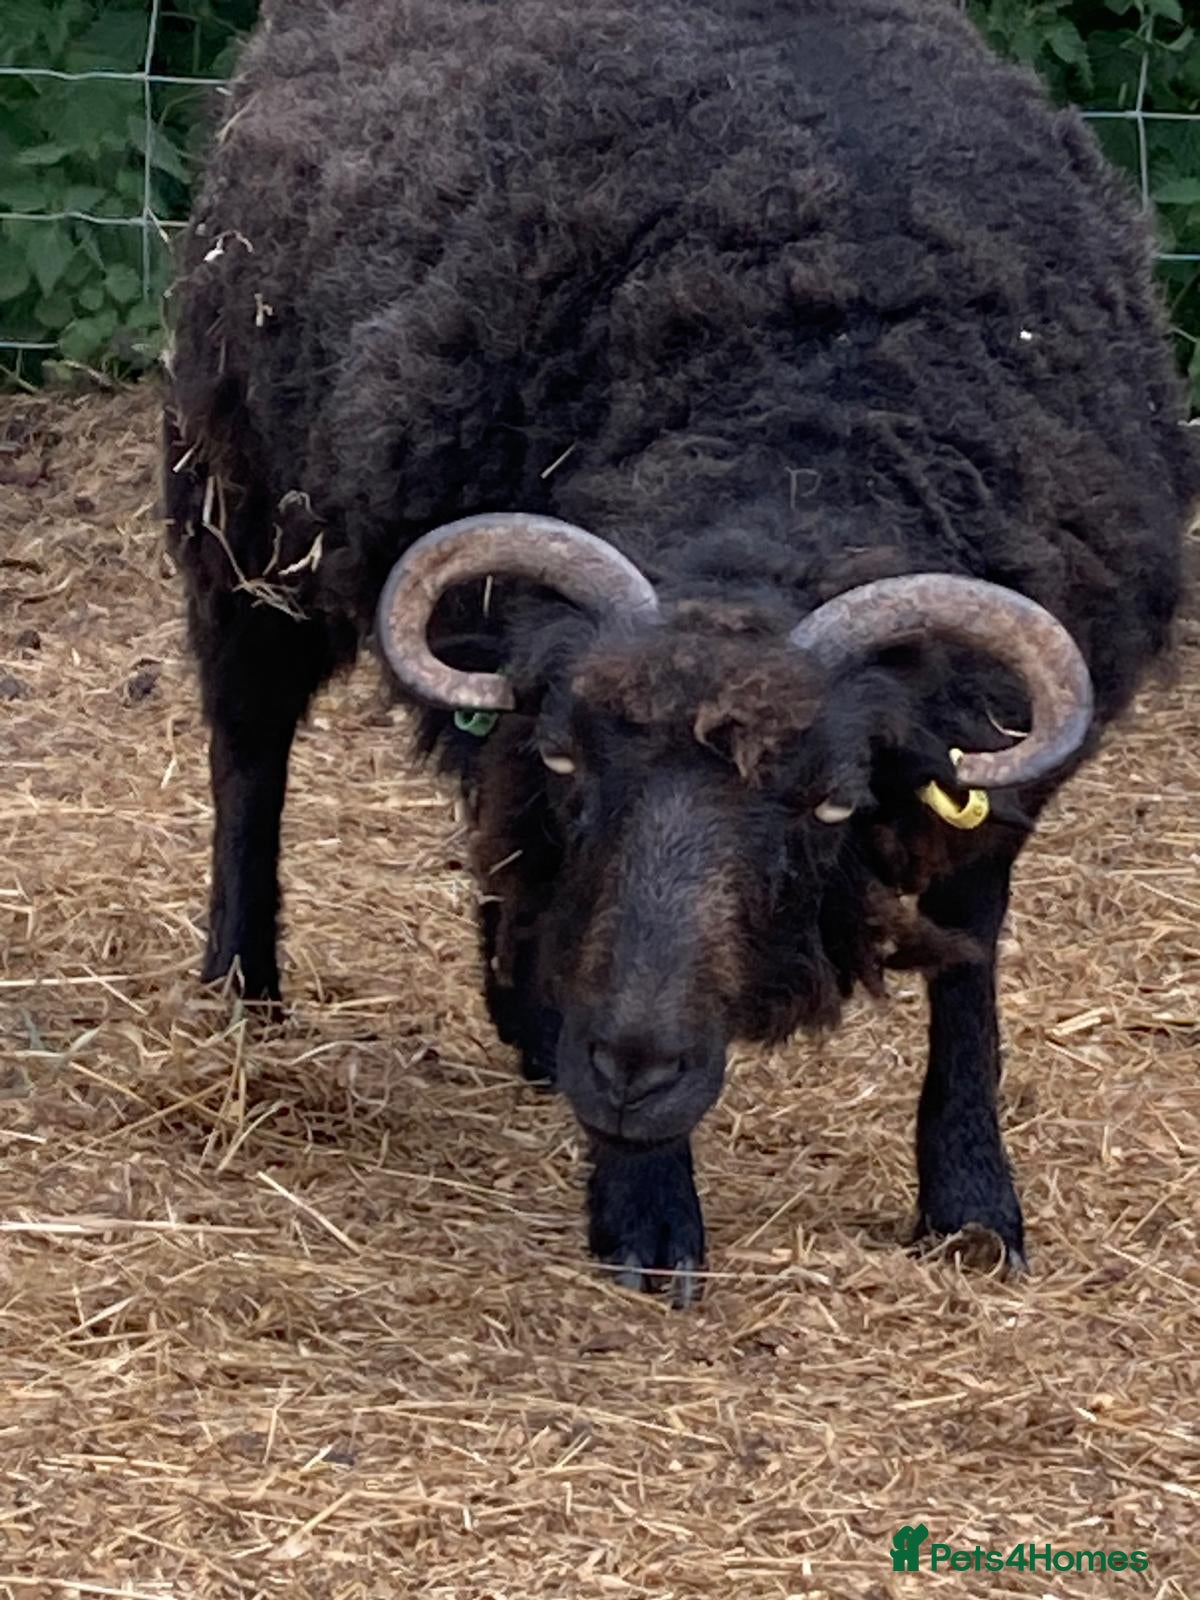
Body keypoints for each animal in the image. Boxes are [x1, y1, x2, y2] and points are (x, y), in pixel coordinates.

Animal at [165, 0, 1199, 1302]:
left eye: (829, 803)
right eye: (576, 765)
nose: (635, 1068)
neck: (802, 427)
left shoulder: (996, 775)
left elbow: (968, 957)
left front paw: (971, 1202)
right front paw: (645, 1208)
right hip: (245, 505)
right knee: (250, 743)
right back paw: (243, 985)